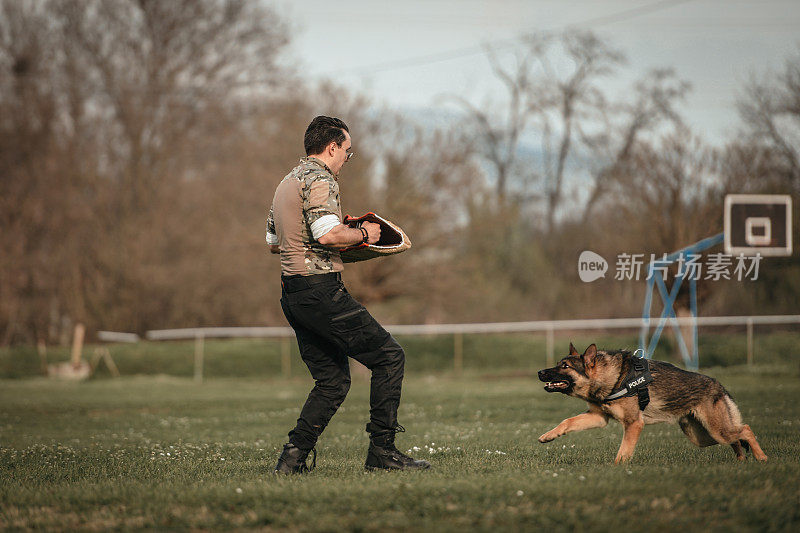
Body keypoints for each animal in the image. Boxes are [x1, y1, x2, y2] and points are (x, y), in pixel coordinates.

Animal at [536, 342, 768, 464]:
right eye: (558, 363)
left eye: (565, 366)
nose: (539, 372)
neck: (613, 377)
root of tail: (718, 386)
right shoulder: (599, 417)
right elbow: (568, 421)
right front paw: (549, 435)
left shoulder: (634, 424)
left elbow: (623, 451)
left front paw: (616, 468)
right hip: (702, 436)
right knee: (736, 438)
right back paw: (741, 460)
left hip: (715, 430)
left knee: (745, 430)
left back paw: (762, 458)